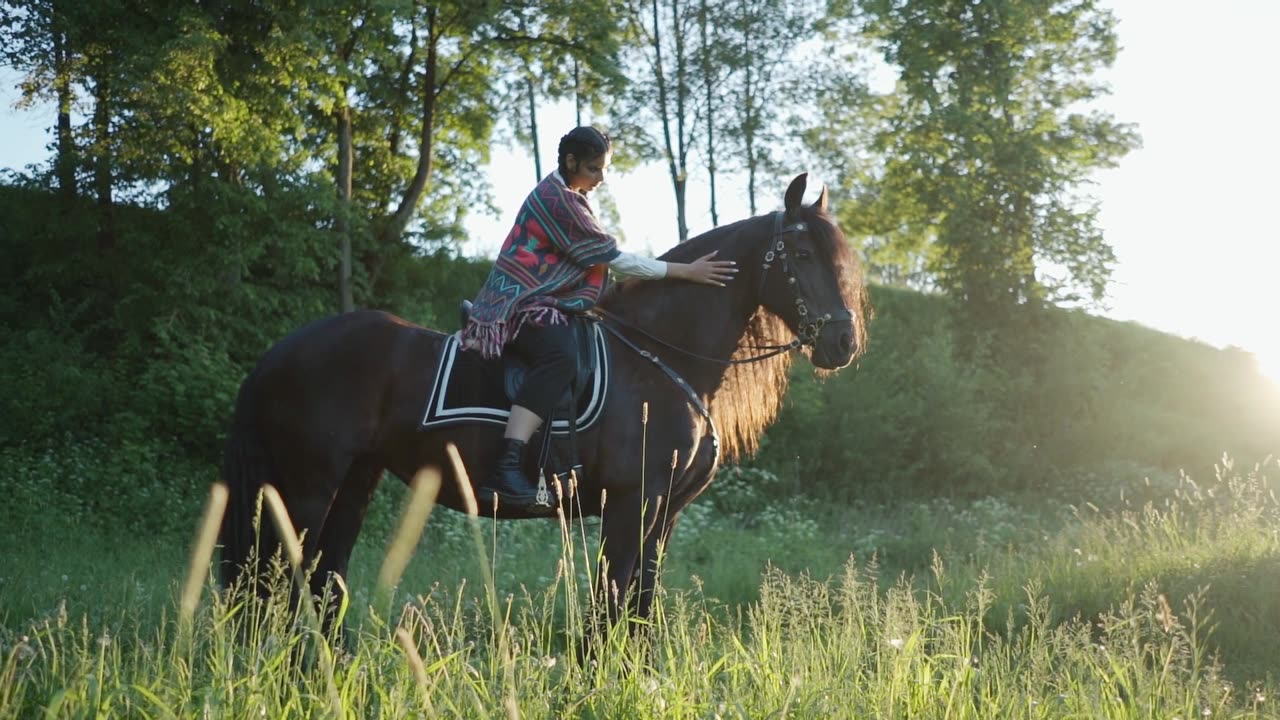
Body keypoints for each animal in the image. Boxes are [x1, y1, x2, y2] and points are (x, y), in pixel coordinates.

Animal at [220, 172, 870, 622]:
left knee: (321, 587)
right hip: (307, 490)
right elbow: (611, 607)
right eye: (802, 254)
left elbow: (640, 609)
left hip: (354, 484)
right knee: (279, 589)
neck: (657, 357)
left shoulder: (663, 513)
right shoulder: (630, 502)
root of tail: (281, 353)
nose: (843, 342)